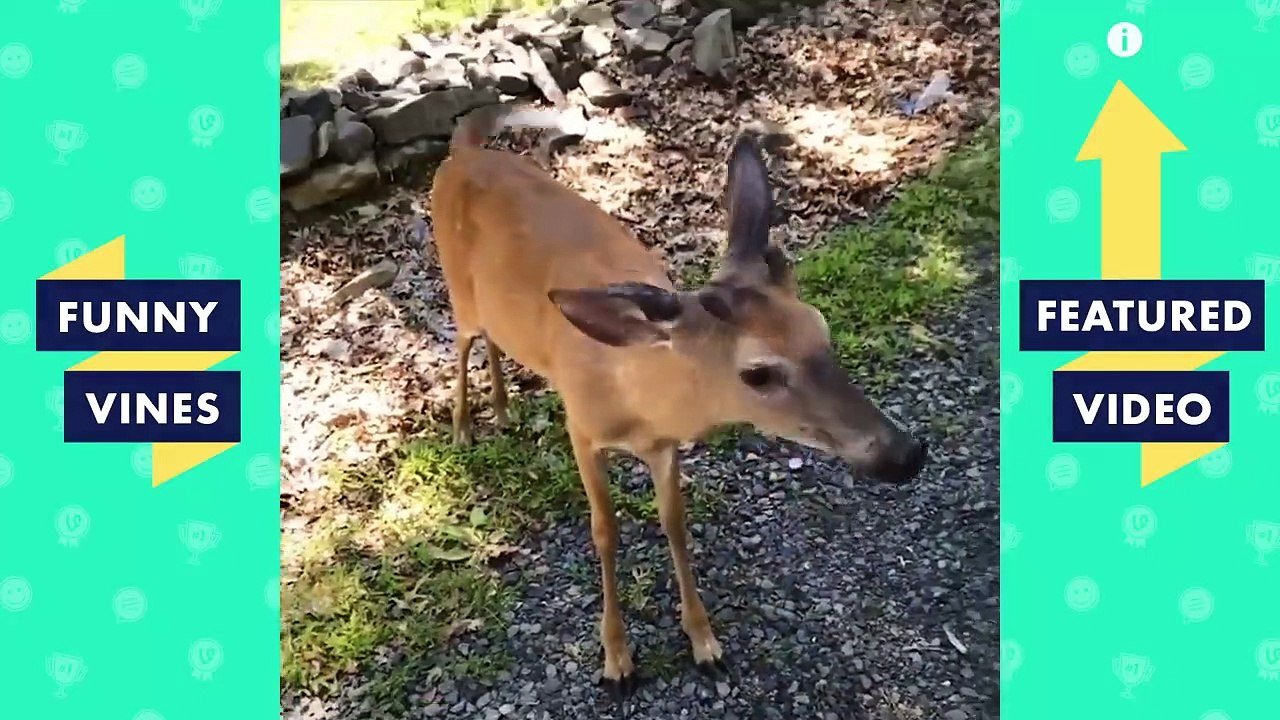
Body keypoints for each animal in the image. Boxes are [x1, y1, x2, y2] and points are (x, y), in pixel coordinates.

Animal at [430, 103, 928, 694]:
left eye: (821, 327)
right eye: (758, 373)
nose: (906, 454)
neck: (638, 393)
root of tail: (462, 152)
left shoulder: (665, 446)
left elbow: (674, 524)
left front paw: (704, 643)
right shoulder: (582, 430)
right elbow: (605, 531)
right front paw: (617, 659)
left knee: (493, 337)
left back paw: (505, 410)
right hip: (456, 288)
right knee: (463, 340)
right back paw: (463, 427)